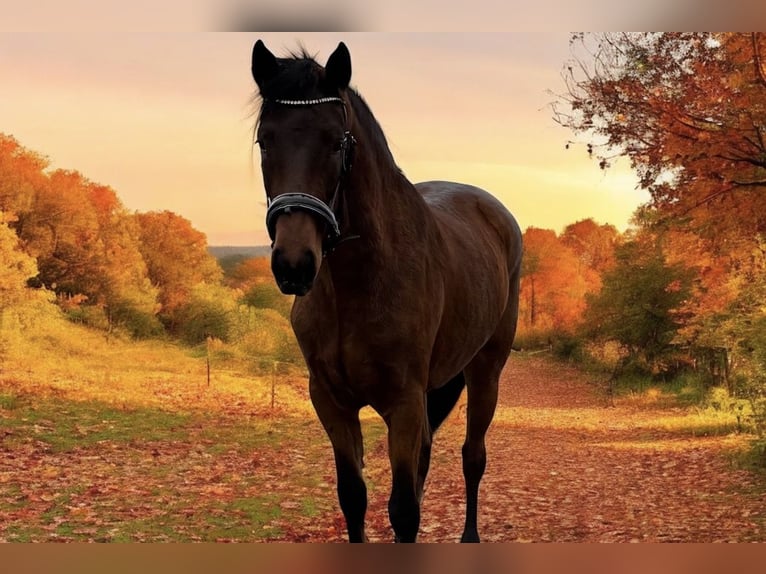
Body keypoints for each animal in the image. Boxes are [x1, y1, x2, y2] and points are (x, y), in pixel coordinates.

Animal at [250, 39, 522, 543]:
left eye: (336, 141)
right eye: (265, 140)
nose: (294, 264)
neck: (357, 287)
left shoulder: (404, 403)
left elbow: (403, 510)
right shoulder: (332, 402)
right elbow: (354, 497)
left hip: (485, 372)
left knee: (472, 457)